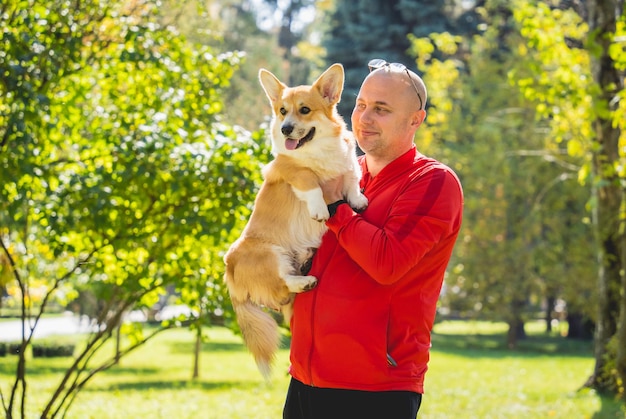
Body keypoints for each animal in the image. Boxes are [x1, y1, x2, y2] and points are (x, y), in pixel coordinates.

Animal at [223, 63, 366, 380]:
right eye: (281, 111)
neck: (317, 150)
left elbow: (352, 176)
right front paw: (320, 208)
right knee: (282, 282)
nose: (285, 128)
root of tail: (230, 277)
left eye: (304, 110)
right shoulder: (288, 168)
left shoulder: (349, 163)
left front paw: (358, 199)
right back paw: (305, 281)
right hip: (267, 253)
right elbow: (309, 178)